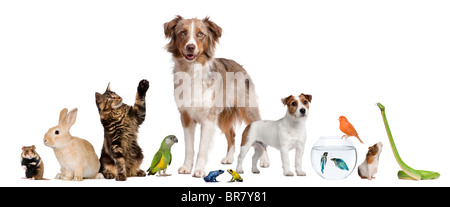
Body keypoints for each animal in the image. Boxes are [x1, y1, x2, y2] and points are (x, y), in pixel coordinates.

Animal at [165, 15, 270, 178]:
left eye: (200, 34)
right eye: (183, 32)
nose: (190, 47)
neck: (192, 71)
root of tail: (240, 66)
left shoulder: (208, 118)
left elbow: (202, 147)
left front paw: (199, 170)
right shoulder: (186, 117)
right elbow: (189, 148)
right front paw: (186, 168)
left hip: (247, 109)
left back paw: (264, 161)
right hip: (222, 115)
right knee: (232, 135)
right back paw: (229, 158)